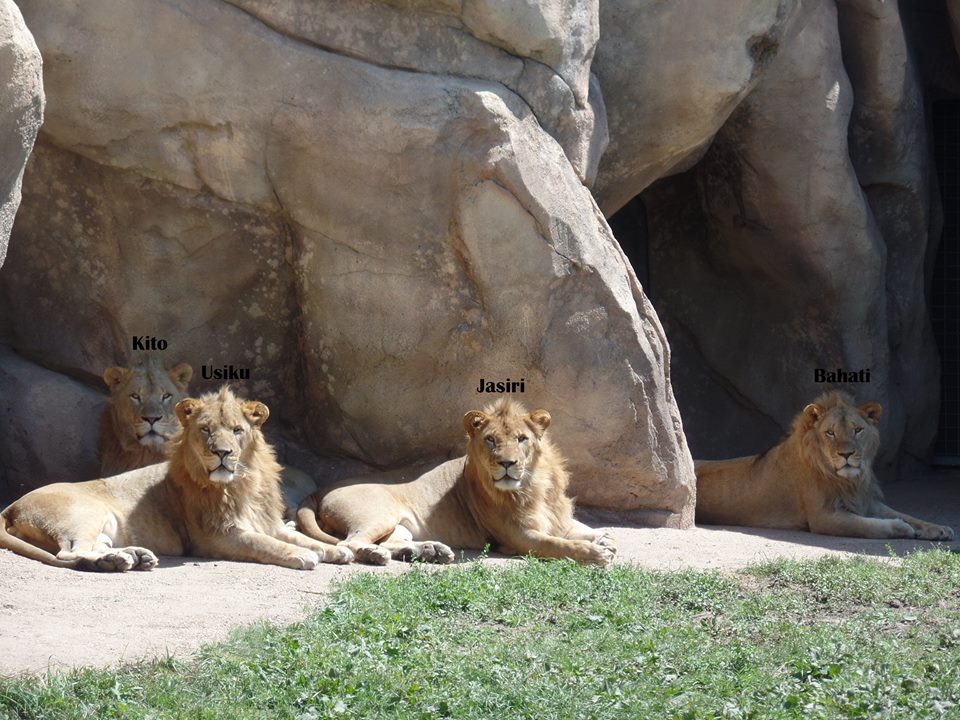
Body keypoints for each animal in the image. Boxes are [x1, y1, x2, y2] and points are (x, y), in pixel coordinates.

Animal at [0, 386, 352, 572]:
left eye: (237, 430)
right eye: (206, 430)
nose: (222, 452)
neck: (242, 483)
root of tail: (12, 505)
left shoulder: (269, 522)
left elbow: (300, 536)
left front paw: (336, 550)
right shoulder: (215, 536)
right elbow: (265, 543)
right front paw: (302, 555)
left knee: (92, 547)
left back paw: (131, 556)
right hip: (86, 514)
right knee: (69, 553)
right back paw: (119, 561)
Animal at [296, 396, 620, 564]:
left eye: (521, 439)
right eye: (490, 440)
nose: (507, 463)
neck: (534, 485)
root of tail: (321, 489)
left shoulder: (558, 518)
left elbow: (579, 529)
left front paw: (604, 537)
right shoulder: (518, 536)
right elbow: (558, 544)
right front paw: (596, 553)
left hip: (399, 525)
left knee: (391, 541)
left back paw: (429, 551)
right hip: (379, 514)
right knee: (352, 542)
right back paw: (376, 554)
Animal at [692, 388, 956, 540]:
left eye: (857, 430)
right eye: (830, 433)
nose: (846, 454)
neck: (851, 481)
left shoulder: (867, 501)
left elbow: (908, 515)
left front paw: (939, 528)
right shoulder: (824, 517)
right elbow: (870, 527)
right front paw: (901, 529)